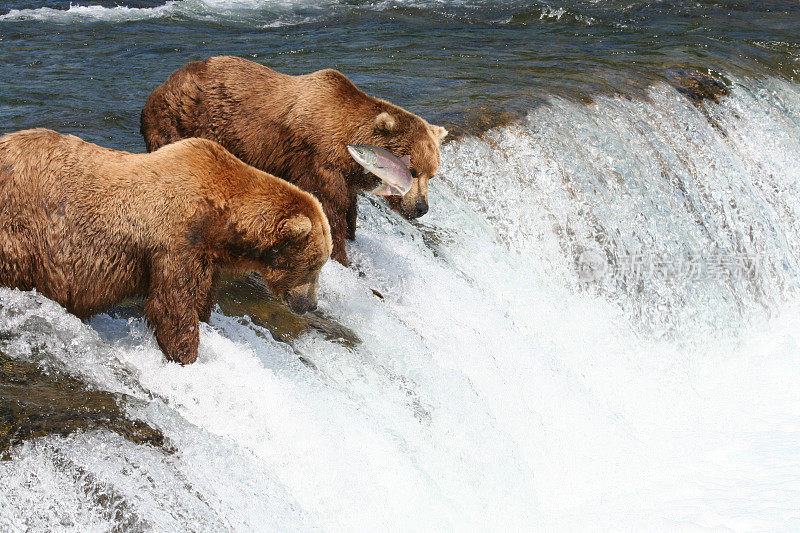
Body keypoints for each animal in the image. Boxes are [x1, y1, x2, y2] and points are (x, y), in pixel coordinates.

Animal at [0, 128, 332, 366]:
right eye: (314, 264)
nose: (310, 304)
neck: (219, 218)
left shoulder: (205, 256)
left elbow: (200, 298)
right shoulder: (176, 241)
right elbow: (172, 305)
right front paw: (185, 355)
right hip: (23, 228)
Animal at [140, 56, 446, 266]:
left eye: (431, 174)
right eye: (412, 170)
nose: (421, 207)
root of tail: (161, 86)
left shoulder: (344, 176)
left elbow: (348, 210)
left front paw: (351, 236)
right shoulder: (318, 163)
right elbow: (330, 211)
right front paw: (340, 256)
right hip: (182, 121)